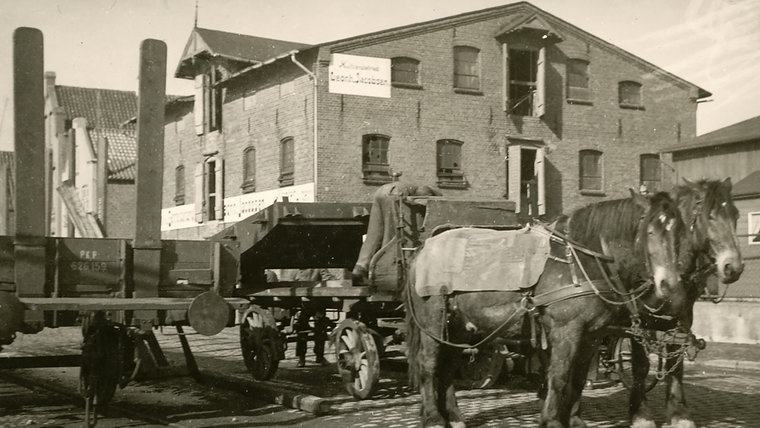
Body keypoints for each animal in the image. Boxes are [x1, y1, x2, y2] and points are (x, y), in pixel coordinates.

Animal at [406, 191, 684, 428]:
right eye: (649, 232)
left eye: (679, 232)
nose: (669, 285)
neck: (583, 261)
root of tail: (421, 251)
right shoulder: (566, 330)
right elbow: (559, 377)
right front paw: (551, 420)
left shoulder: (591, 336)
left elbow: (578, 378)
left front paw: (574, 420)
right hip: (433, 322)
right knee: (428, 365)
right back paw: (433, 418)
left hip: (459, 329)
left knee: (448, 368)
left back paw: (453, 417)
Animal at [628, 178, 744, 428]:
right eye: (709, 216)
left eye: (736, 215)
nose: (734, 267)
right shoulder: (635, 320)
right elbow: (640, 365)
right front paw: (640, 414)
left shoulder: (681, 318)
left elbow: (676, 363)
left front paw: (678, 413)